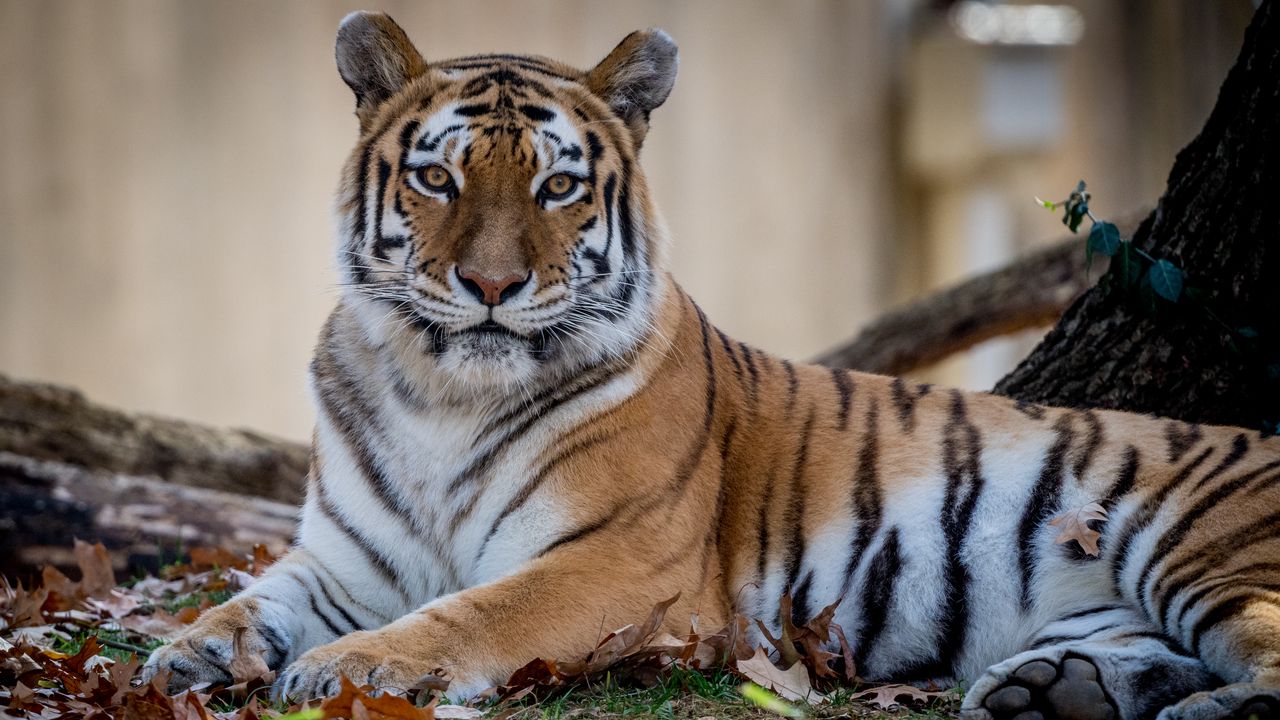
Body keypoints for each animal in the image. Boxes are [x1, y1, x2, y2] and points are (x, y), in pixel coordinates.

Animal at [140, 11, 1280, 717]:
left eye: (557, 187)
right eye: (435, 178)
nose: (492, 286)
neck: (441, 390)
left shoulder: (620, 562)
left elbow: (471, 611)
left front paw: (350, 667)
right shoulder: (348, 557)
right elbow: (254, 595)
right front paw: (186, 650)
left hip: (1198, 548)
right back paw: (1049, 691)